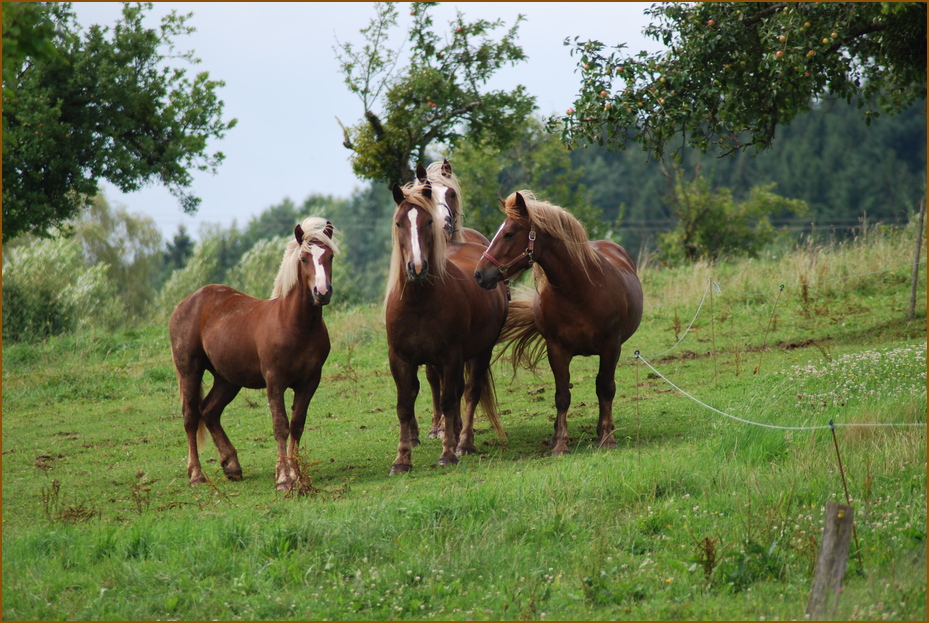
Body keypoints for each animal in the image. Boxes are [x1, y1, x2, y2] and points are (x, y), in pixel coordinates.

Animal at [169, 218, 338, 492]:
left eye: (330, 255)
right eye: (304, 258)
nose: (322, 292)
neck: (295, 325)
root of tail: (186, 303)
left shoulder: (310, 381)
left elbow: (297, 425)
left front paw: (298, 475)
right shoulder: (274, 380)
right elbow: (280, 426)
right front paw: (283, 478)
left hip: (227, 379)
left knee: (210, 411)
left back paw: (232, 466)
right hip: (190, 371)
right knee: (191, 416)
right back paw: (196, 475)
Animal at [386, 182, 512, 478]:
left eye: (428, 221)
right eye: (399, 223)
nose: (417, 267)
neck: (418, 302)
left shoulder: (451, 355)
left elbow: (449, 400)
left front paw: (448, 455)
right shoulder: (400, 359)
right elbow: (404, 407)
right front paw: (402, 460)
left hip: (480, 352)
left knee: (470, 391)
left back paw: (464, 443)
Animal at [474, 193, 640, 456]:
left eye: (509, 233)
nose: (480, 274)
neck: (581, 291)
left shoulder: (611, 347)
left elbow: (606, 388)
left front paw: (607, 437)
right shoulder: (557, 350)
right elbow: (562, 395)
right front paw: (561, 442)